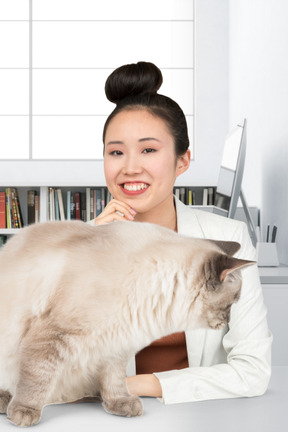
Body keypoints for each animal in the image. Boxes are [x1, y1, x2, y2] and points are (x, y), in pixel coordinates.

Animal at [0, 219, 254, 426]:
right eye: (232, 303)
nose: (228, 321)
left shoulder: (116, 344)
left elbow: (114, 381)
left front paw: (120, 404)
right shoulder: (52, 337)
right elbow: (36, 378)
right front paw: (25, 412)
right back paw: (6, 403)